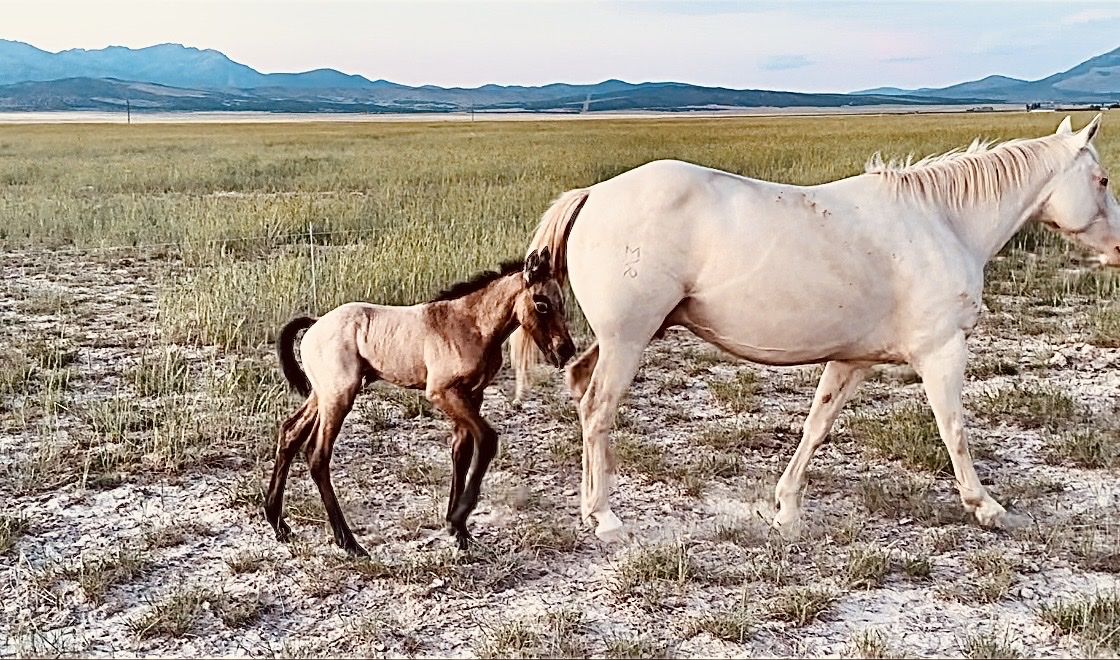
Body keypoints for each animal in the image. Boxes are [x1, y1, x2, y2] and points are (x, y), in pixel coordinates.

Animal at [265, 248, 576, 556]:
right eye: (541, 303)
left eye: (561, 301)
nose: (566, 351)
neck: (470, 324)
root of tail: (315, 324)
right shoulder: (442, 392)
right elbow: (487, 440)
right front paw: (457, 518)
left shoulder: (472, 395)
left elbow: (461, 452)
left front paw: (459, 531)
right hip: (339, 395)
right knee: (317, 455)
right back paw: (349, 542)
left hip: (322, 394)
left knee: (290, 433)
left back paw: (279, 523)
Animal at [511, 114, 1118, 542]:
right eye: (1102, 178)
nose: (1117, 249)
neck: (942, 223)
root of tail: (594, 195)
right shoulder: (942, 352)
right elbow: (956, 431)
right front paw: (989, 508)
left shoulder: (852, 360)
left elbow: (816, 427)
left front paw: (787, 509)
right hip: (628, 342)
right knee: (597, 411)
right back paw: (607, 517)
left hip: (622, 341)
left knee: (580, 389)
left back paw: (589, 510)